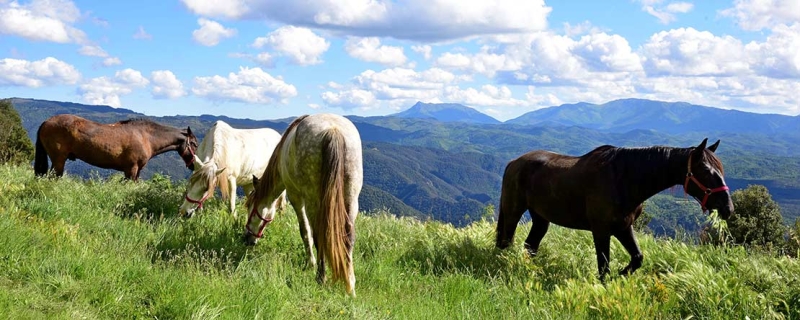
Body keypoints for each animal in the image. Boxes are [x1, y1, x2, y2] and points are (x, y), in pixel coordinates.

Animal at [35, 114, 200, 180]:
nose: (195, 166)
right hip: (59, 161)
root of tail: (46, 122)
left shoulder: (136, 171)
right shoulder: (131, 170)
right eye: (194, 144)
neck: (146, 137)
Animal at [245, 114, 364, 296]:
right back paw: (350, 286)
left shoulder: (296, 197)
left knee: (319, 235)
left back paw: (321, 277)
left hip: (312, 200)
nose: (247, 239)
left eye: (251, 209)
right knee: (348, 237)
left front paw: (311, 263)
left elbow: (305, 232)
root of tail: (333, 130)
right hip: (351, 198)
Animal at [496, 138, 736, 280]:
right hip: (513, 211)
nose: (728, 208)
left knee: (530, 245)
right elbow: (604, 266)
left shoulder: (623, 227)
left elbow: (638, 257)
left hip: (541, 218)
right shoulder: (601, 231)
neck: (623, 179)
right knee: (506, 241)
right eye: (706, 171)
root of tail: (513, 162)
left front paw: (622, 274)